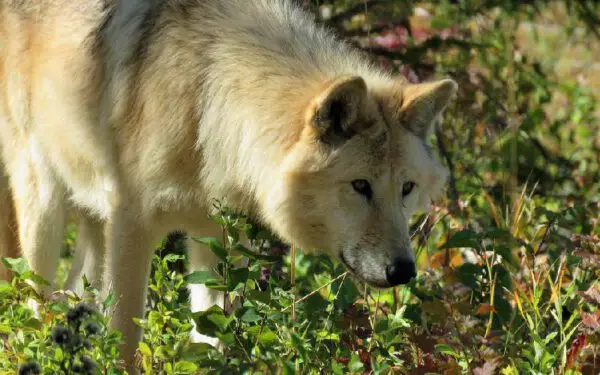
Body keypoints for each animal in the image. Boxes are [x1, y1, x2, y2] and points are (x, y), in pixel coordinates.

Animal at [0, 0, 454, 370]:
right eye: (360, 185)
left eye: (406, 188)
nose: (404, 270)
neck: (208, 104)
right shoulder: (131, 228)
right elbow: (126, 341)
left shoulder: (216, 242)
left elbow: (210, 343)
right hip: (43, 205)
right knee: (33, 307)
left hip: (90, 220)